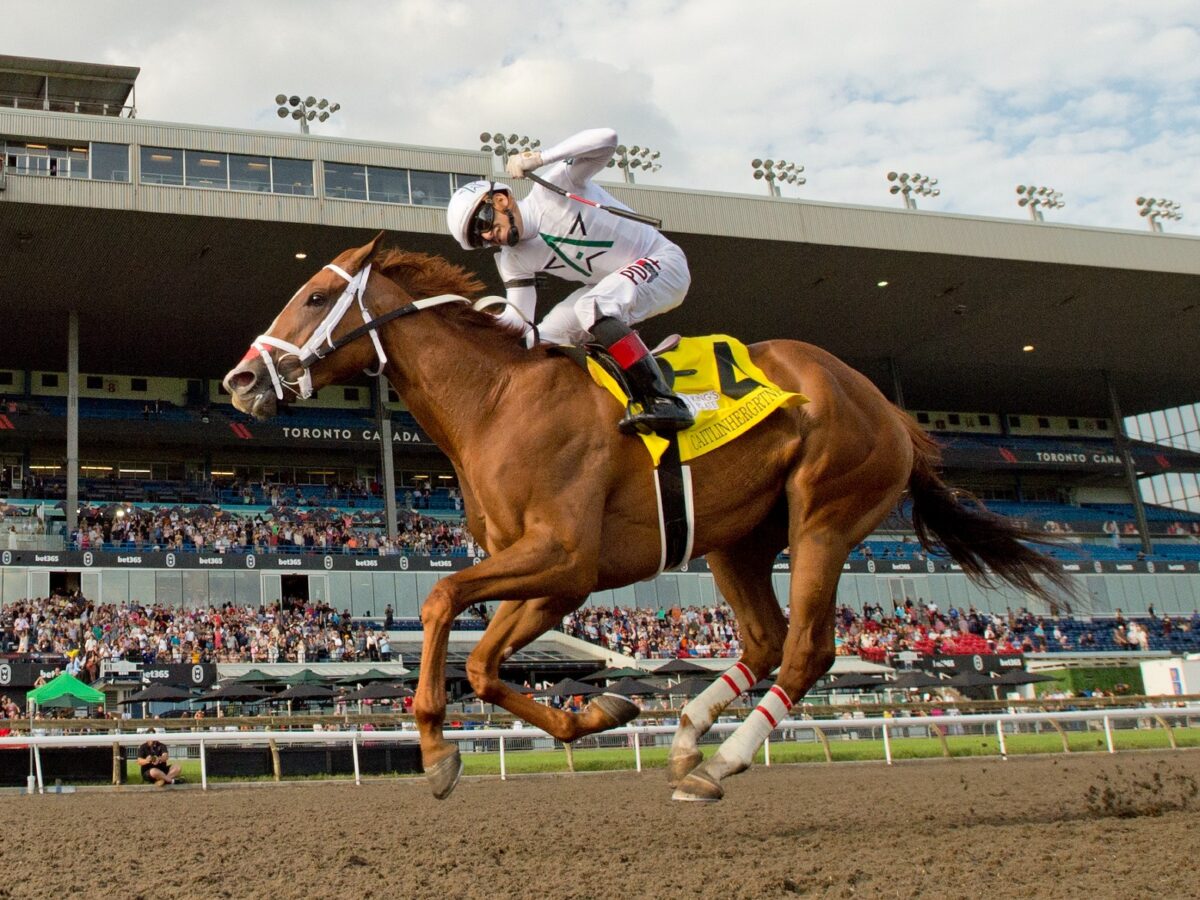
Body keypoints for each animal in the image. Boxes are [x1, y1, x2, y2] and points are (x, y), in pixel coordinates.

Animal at [225, 237, 1070, 801]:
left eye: (312, 297)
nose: (239, 380)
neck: (497, 401)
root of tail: (889, 409)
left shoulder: (561, 557)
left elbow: (439, 603)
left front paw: (435, 747)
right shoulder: (557, 580)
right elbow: (484, 664)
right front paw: (602, 708)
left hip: (824, 518)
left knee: (807, 651)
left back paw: (722, 760)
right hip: (738, 541)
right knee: (764, 641)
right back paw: (690, 740)